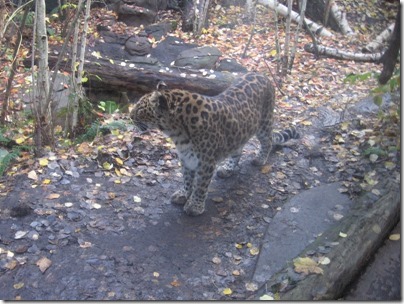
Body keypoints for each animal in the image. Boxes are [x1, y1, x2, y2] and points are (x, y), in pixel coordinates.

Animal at [131, 72, 298, 216]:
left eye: (139, 108)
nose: (129, 116)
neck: (176, 131)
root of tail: (262, 74)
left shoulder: (206, 162)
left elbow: (200, 185)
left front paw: (195, 206)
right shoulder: (186, 158)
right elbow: (187, 179)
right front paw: (183, 194)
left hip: (264, 122)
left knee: (267, 141)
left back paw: (260, 159)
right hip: (238, 133)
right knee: (238, 150)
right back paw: (228, 169)